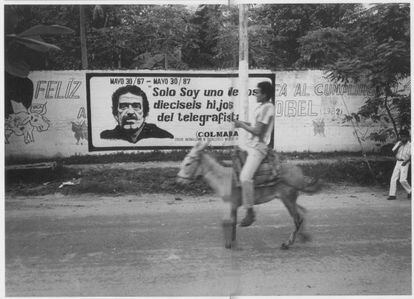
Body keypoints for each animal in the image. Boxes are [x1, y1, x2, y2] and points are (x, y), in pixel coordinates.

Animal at [175, 142, 320, 250]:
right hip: (289, 198)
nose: (178, 181)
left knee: (297, 218)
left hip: (287, 199)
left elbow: (227, 222)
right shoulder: (233, 206)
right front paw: (232, 243)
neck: (223, 178)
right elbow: (231, 223)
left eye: (188, 163)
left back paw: (287, 243)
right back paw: (304, 236)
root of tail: (299, 172)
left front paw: (230, 244)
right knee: (302, 212)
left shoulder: (230, 204)